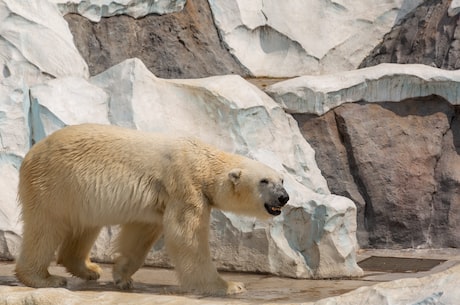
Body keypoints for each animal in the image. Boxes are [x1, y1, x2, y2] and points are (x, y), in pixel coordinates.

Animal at [15, 122, 292, 294]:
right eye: (264, 181)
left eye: (282, 180)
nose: (283, 198)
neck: (203, 162)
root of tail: (30, 153)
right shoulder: (185, 186)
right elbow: (186, 237)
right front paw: (229, 286)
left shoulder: (160, 199)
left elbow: (142, 232)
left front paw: (122, 276)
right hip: (55, 183)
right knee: (45, 228)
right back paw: (44, 278)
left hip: (79, 193)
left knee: (85, 226)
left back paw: (89, 269)